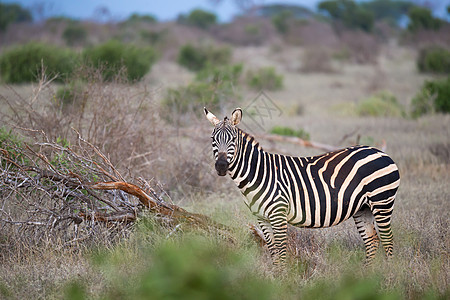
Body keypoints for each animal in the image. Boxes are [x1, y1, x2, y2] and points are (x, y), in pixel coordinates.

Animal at [205, 106, 400, 264]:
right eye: (213, 139)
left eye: (233, 140)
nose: (221, 166)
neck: (258, 173)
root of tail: (380, 152)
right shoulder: (262, 218)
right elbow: (273, 251)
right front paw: (275, 278)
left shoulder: (278, 214)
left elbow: (281, 250)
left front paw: (283, 280)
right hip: (363, 208)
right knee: (372, 241)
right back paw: (369, 277)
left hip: (382, 202)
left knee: (388, 240)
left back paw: (387, 278)